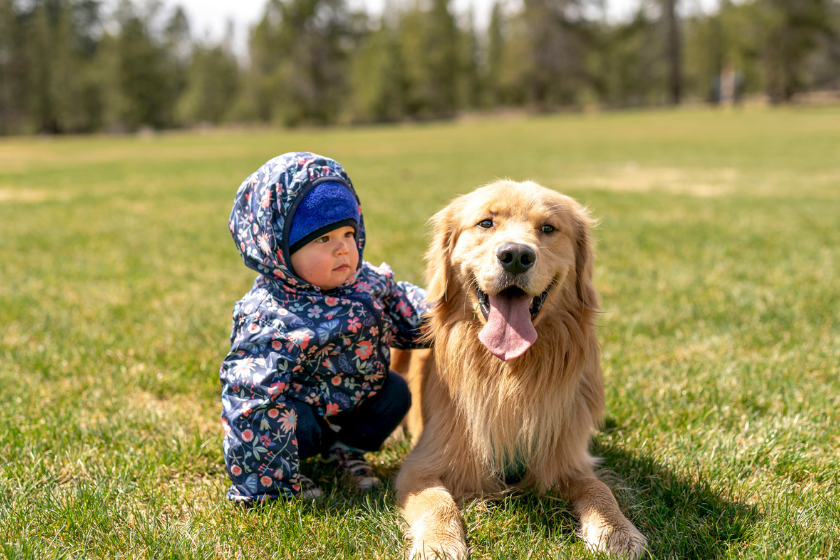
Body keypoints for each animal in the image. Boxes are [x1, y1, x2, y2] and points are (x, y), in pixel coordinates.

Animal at [396, 182, 648, 556]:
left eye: (548, 228)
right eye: (486, 223)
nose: (515, 255)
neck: (510, 373)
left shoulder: (566, 458)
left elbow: (598, 489)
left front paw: (617, 529)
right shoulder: (421, 466)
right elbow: (437, 501)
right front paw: (438, 543)